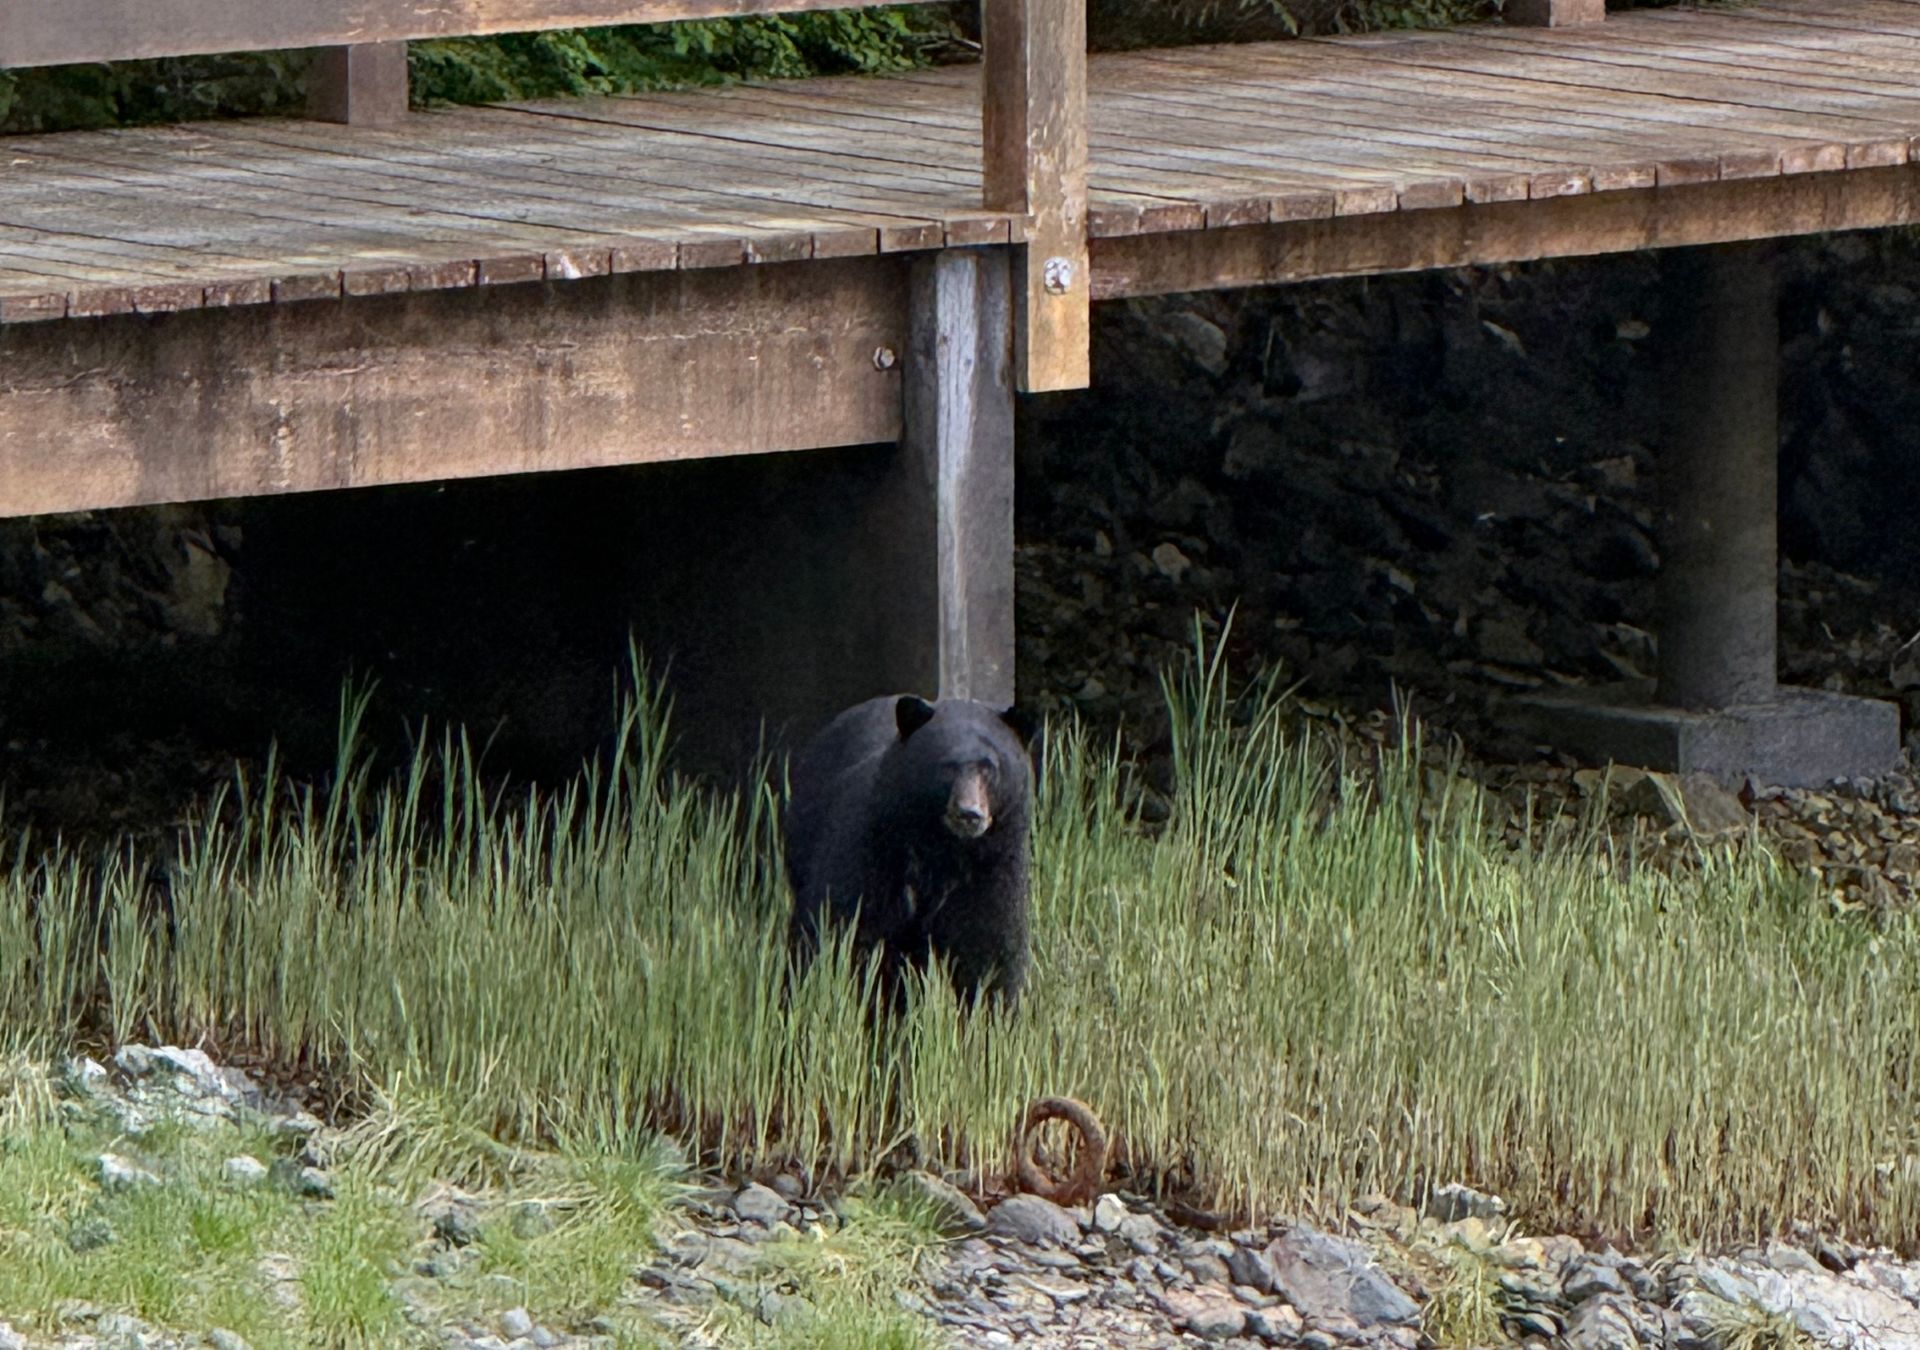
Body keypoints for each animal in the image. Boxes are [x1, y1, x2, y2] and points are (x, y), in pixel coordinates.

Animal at [784, 693, 1033, 1009]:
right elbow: (835, 928)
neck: (942, 849)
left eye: (989, 767)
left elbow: (990, 953)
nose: (969, 813)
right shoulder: (871, 854)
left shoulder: (991, 868)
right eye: (947, 766)